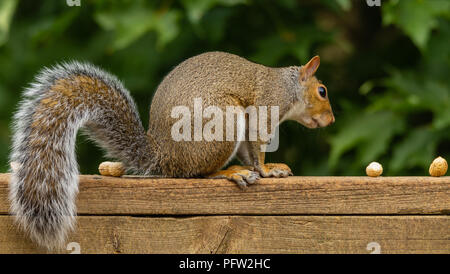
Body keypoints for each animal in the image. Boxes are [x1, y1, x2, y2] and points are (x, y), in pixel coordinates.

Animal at [9, 50, 334, 249]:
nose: (331, 120)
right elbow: (257, 147)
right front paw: (267, 169)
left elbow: (248, 150)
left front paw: (269, 167)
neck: (288, 87)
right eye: (322, 91)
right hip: (223, 120)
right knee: (199, 174)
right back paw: (230, 173)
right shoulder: (264, 108)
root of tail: (164, 154)